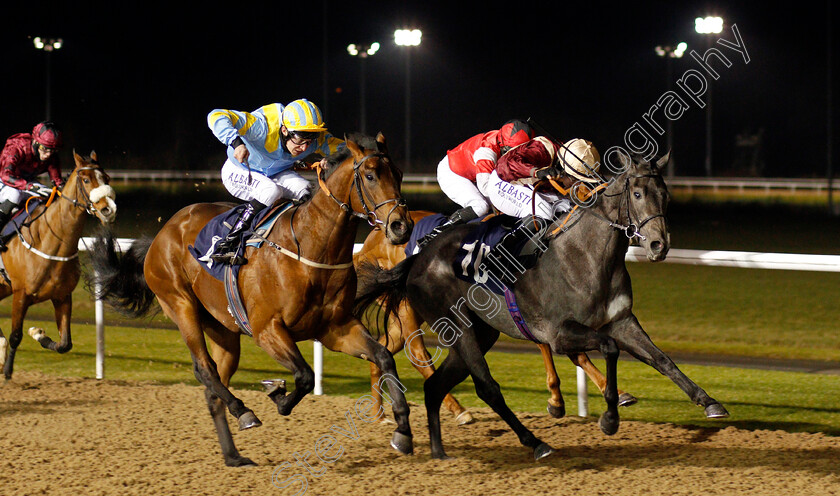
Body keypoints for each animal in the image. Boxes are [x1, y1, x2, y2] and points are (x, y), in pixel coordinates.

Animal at [0, 151, 116, 380]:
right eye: (86, 179)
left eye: (106, 178)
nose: (108, 210)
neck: (47, 239)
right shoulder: (21, 294)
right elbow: (16, 335)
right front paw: (7, 372)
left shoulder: (62, 296)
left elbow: (65, 344)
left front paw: (37, 333)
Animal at [85, 132, 414, 464]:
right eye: (370, 176)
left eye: (399, 174)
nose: (401, 226)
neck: (311, 249)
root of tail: (162, 233)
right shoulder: (267, 329)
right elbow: (305, 376)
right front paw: (277, 395)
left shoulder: (336, 328)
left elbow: (383, 356)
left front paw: (402, 431)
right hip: (180, 304)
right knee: (204, 369)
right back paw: (243, 411)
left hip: (223, 330)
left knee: (214, 387)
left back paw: (233, 455)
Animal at [354, 211, 636, 424]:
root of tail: (369, 243)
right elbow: (559, 347)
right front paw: (558, 399)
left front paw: (616, 393)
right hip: (413, 312)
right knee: (418, 354)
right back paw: (457, 410)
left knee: (385, 347)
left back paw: (379, 412)